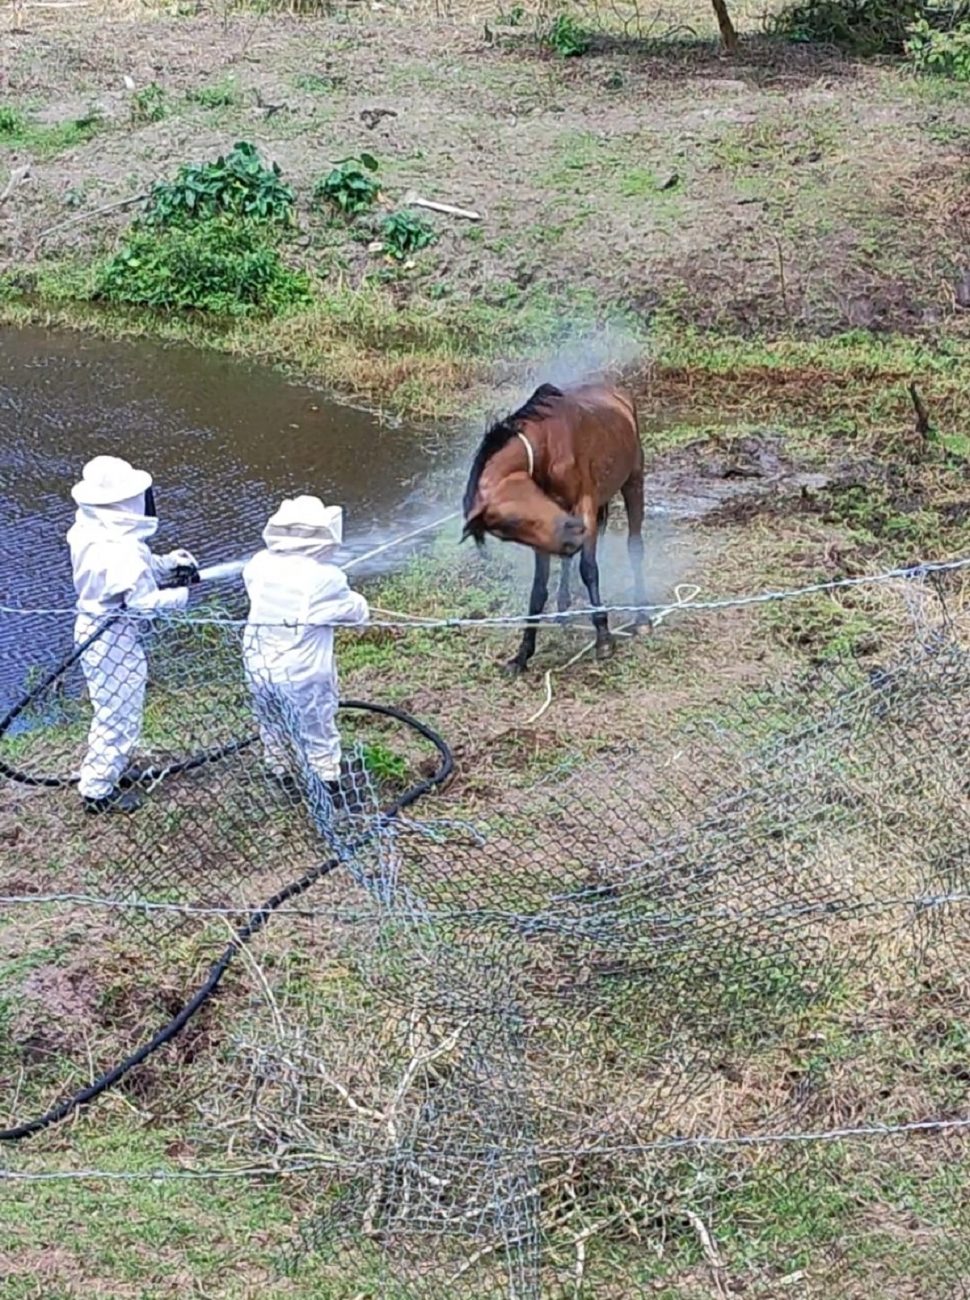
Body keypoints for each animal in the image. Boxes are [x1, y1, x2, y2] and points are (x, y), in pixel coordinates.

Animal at [460, 379, 644, 676]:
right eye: (508, 533)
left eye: (512, 520)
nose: (572, 535)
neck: (547, 444)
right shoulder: (549, 534)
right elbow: (538, 591)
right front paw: (522, 654)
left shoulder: (585, 506)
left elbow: (589, 570)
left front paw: (604, 638)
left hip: (633, 480)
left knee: (635, 546)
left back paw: (643, 618)